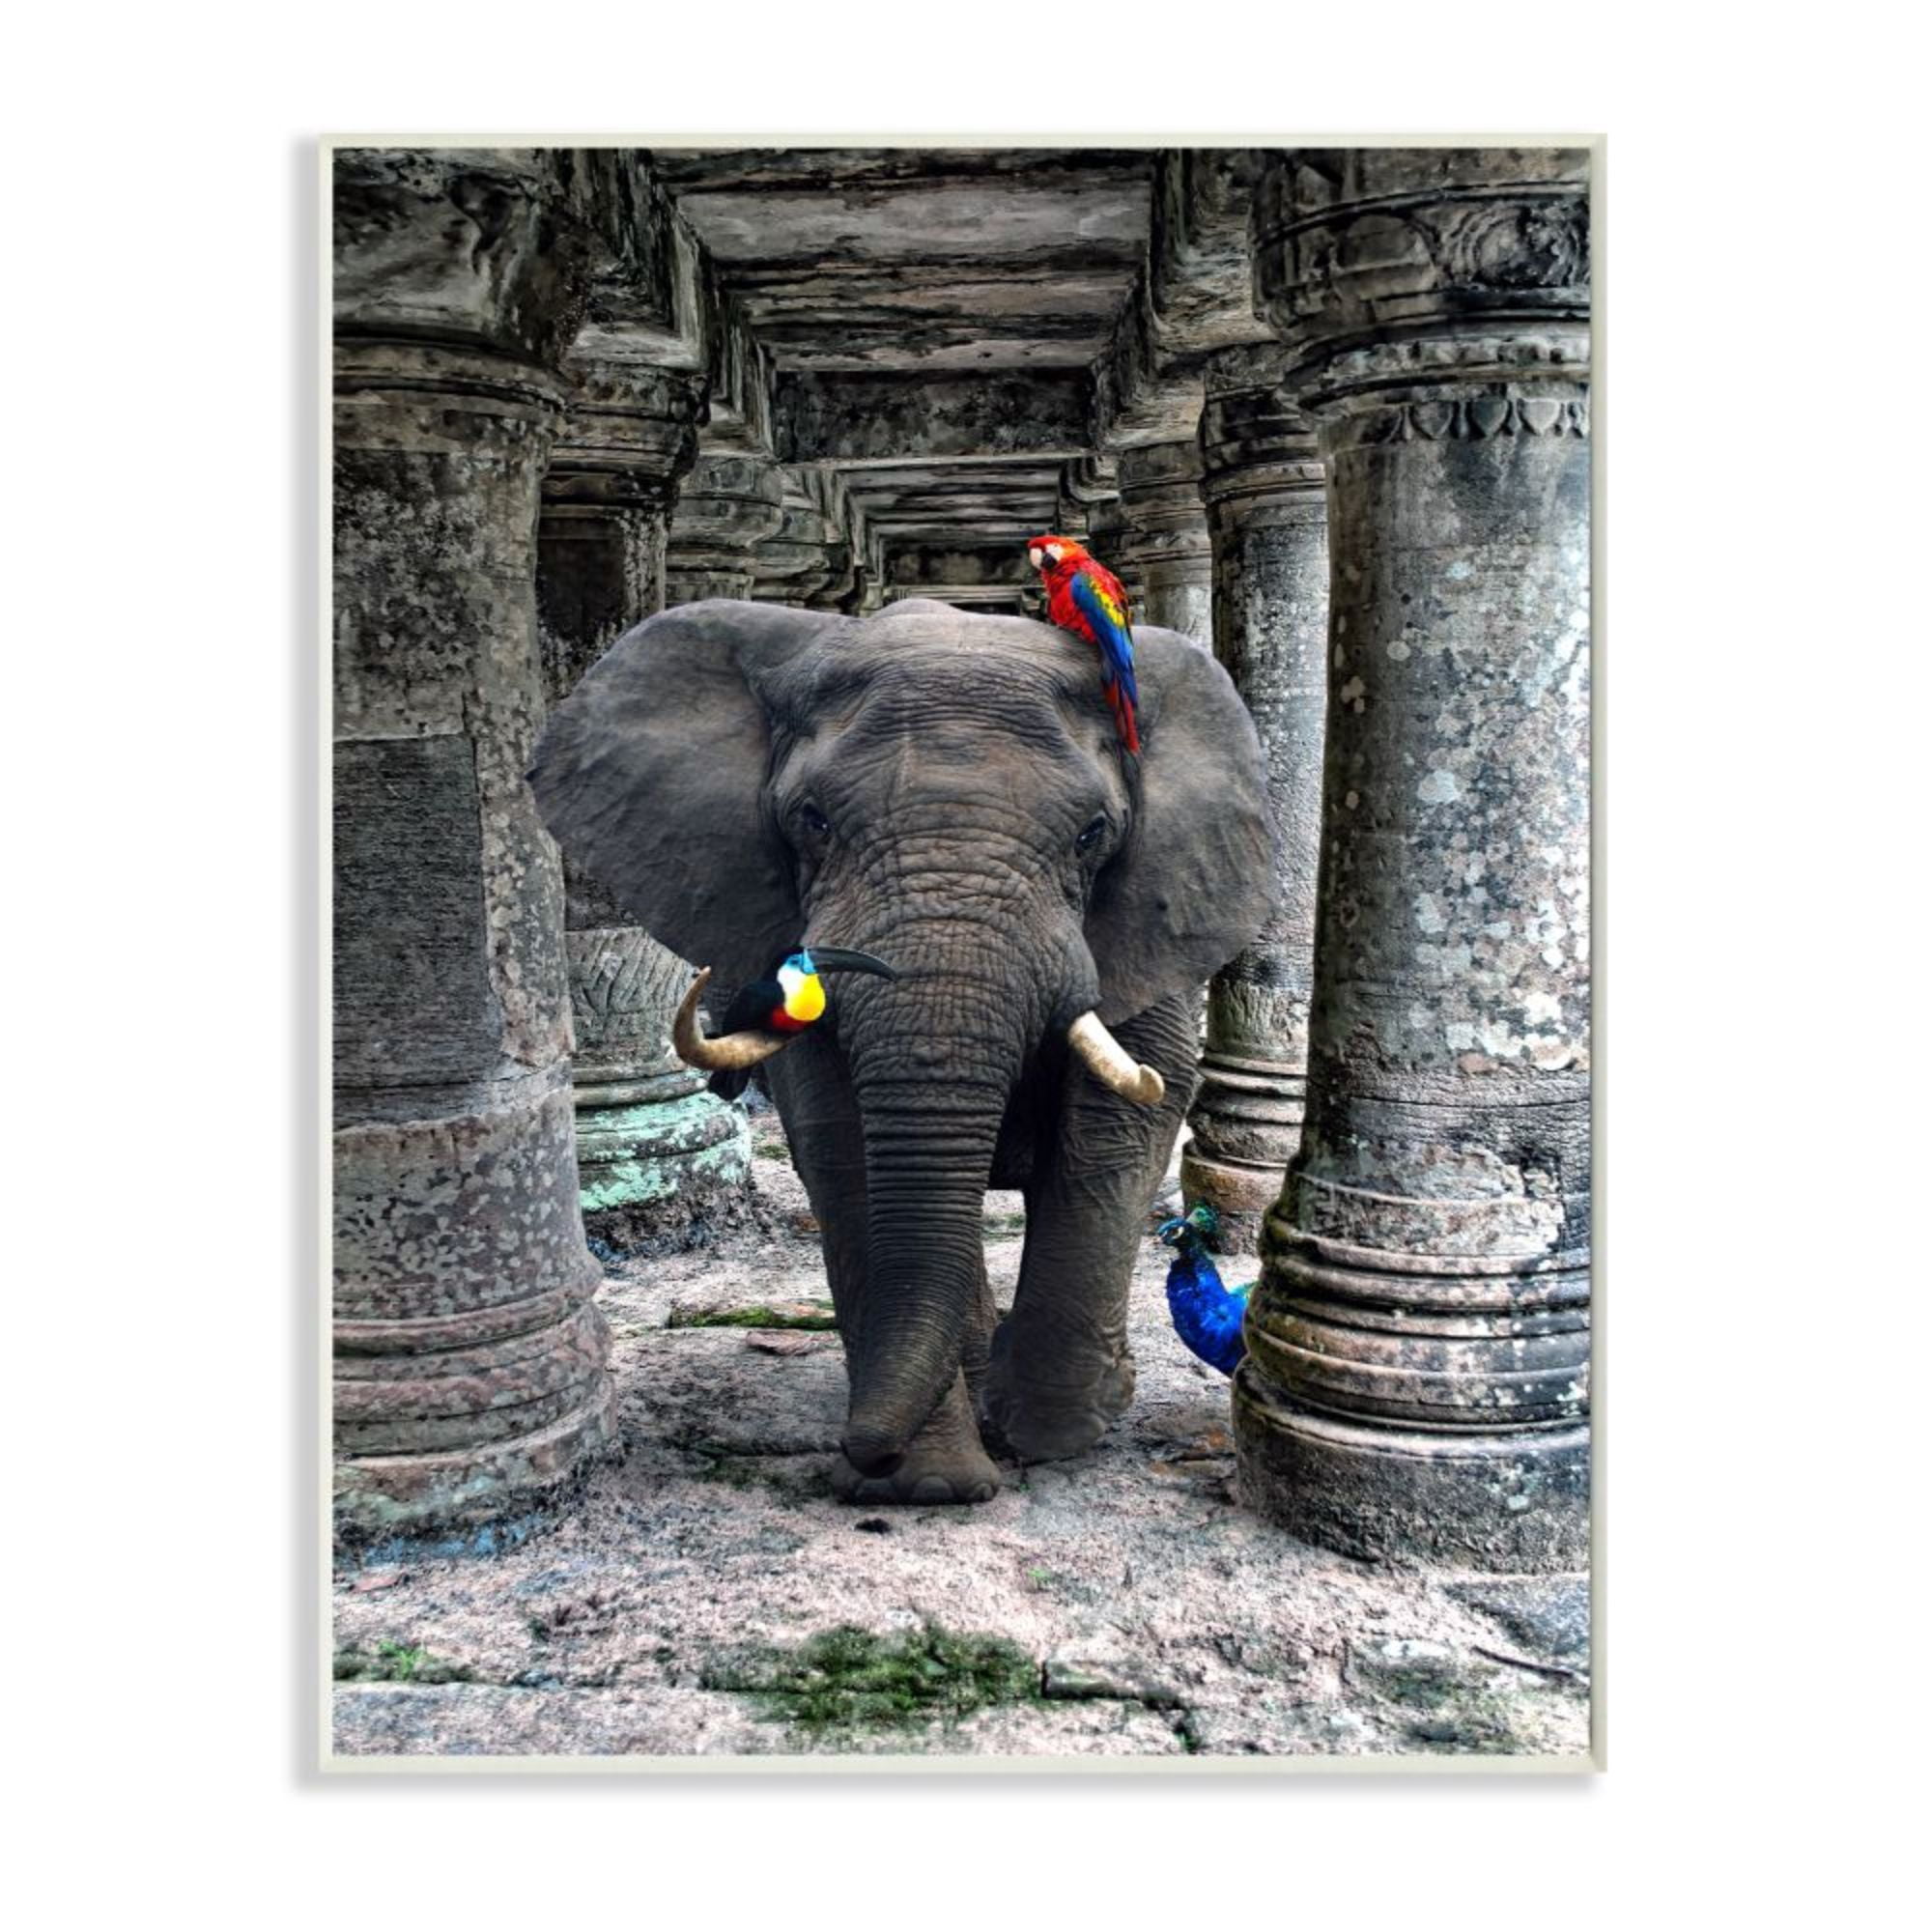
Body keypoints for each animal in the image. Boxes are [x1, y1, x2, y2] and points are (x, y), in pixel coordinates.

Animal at [529, 598, 1273, 1505]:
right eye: (811, 821)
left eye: (1093, 834)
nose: (867, 1449)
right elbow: (841, 1147)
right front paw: (931, 1485)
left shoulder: (1158, 909)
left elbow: (1115, 1130)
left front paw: (1054, 1435)